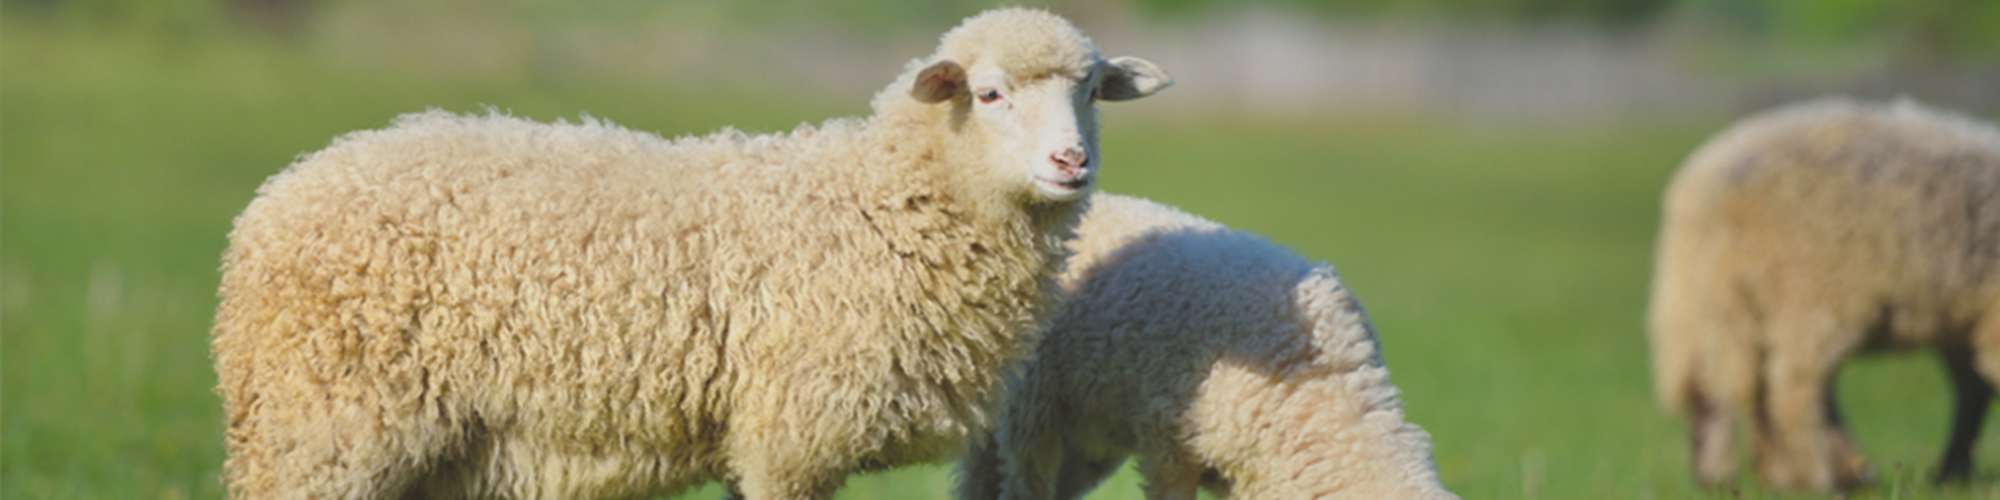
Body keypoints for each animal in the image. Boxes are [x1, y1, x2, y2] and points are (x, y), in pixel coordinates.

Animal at [209, 8, 1171, 499]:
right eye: (990, 94)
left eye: (1092, 91)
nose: (1070, 163)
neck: (881, 205)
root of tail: (272, 203)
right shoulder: (790, 436)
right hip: (324, 422)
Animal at [1647, 97, 2000, 491]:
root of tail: (1709, 181)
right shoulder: (1989, 317)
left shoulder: (1968, 324)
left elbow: (1973, 390)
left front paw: (1954, 472)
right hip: (1808, 287)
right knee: (1791, 389)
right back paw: (1815, 475)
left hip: (1696, 294)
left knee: (1716, 388)